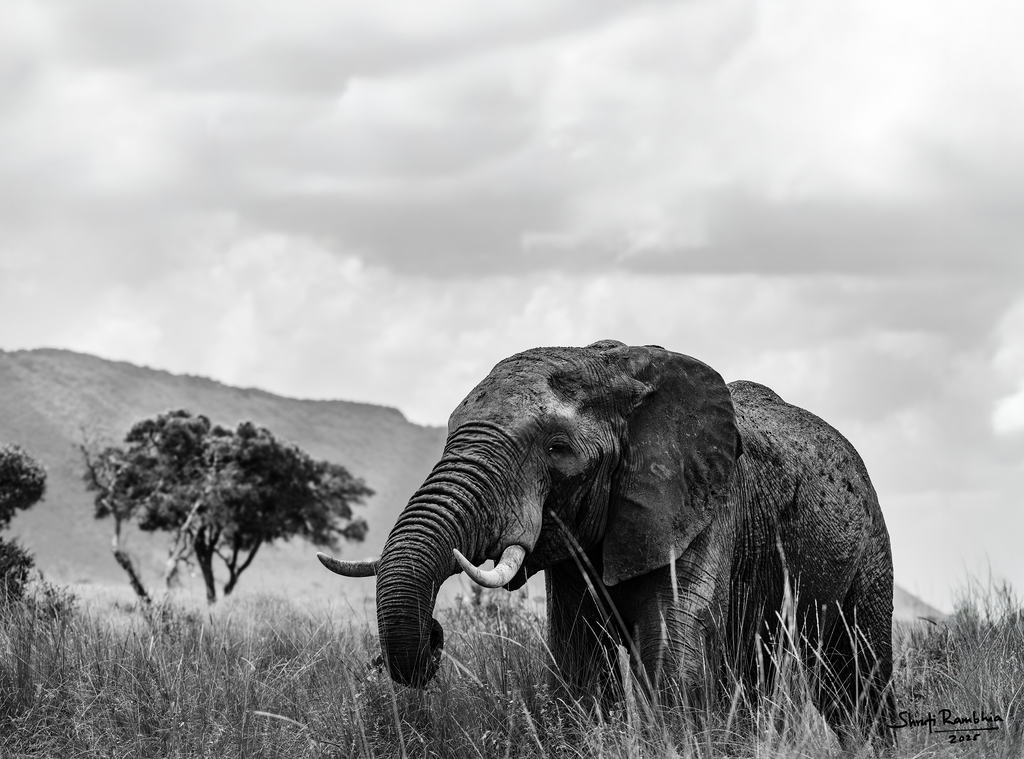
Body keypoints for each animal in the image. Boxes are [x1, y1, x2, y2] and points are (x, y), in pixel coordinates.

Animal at [319, 340, 895, 745]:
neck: (616, 368)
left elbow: (672, 651)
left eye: (557, 449)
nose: (435, 637)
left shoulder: (705, 505)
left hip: (871, 545)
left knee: (857, 681)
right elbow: (579, 664)